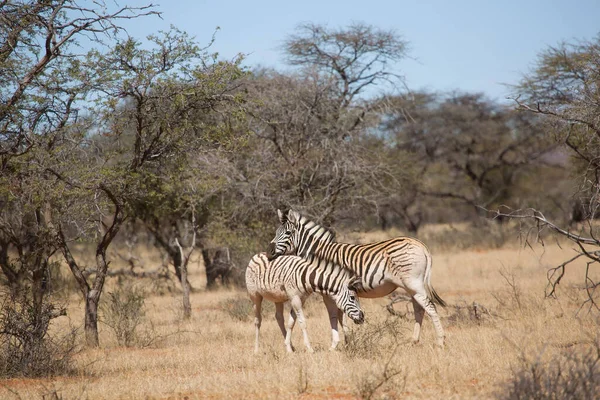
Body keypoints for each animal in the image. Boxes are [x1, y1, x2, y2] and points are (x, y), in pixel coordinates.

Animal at [268, 209, 446, 346]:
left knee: (430, 307)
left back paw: (440, 341)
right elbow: (341, 315)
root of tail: (419, 244)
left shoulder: (331, 291)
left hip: (413, 283)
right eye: (276, 233)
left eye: (288, 233)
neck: (319, 255)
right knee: (419, 309)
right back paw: (414, 341)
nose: (269, 252)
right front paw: (347, 341)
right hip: (411, 286)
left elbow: (336, 315)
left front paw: (342, 342)